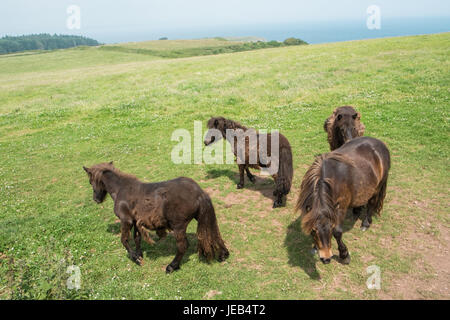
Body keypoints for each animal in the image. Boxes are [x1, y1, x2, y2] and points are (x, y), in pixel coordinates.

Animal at [82, 162, 229, 272]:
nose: (96, 200)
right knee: (214, 233)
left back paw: (171, 266)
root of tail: (199, 192)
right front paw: (139, 255)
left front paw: (135, 258)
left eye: (90, 181)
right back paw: (223, 254)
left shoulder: (126, 220)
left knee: (183, 246)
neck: (121, 190)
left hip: (178, 225)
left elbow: (124, 240)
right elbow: (137, 238)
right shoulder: (136, 221)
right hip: (201, 217)